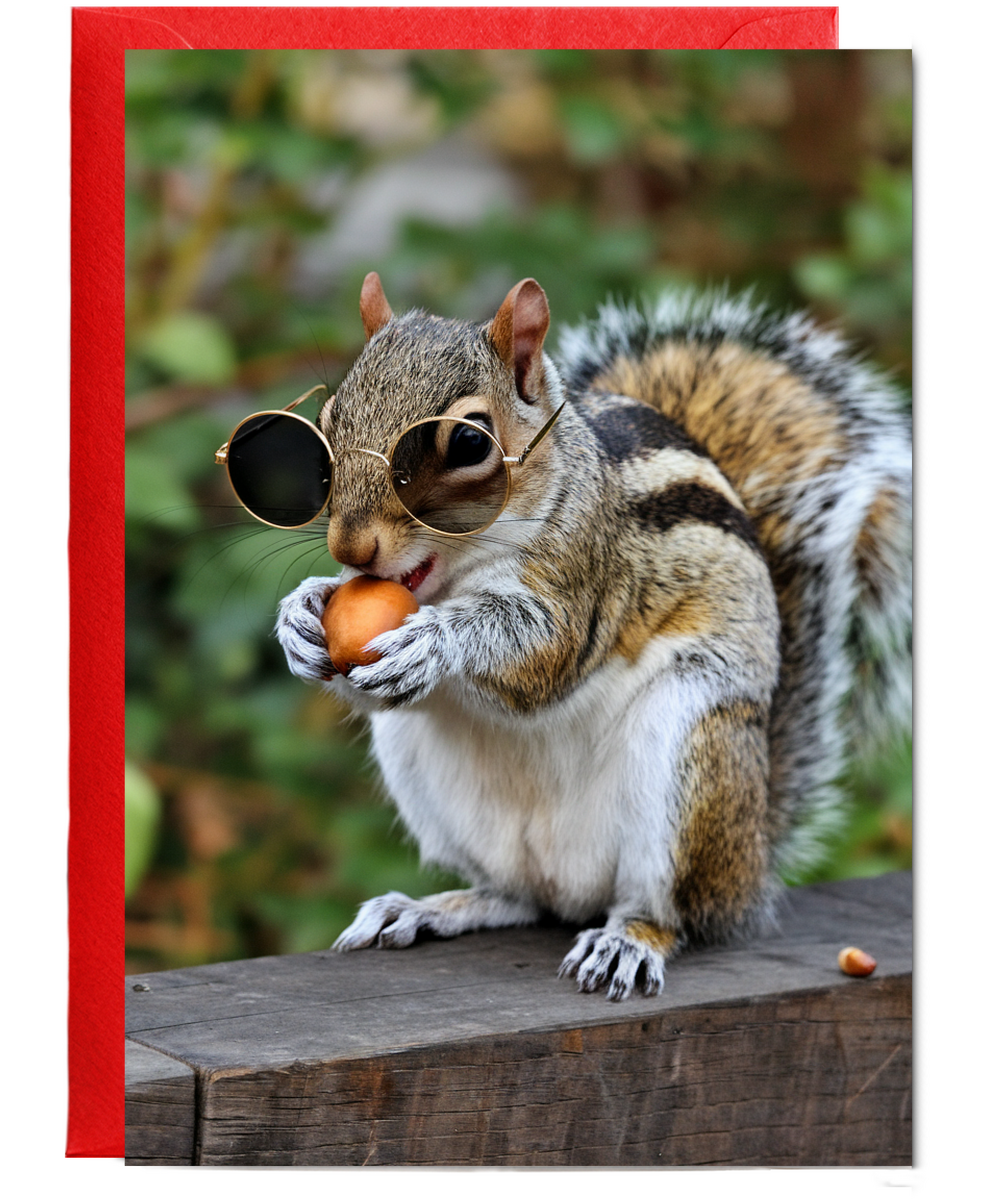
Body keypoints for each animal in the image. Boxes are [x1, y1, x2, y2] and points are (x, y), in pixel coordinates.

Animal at [275, 272, 912, 1001]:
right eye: (328, 422)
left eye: (468, 444)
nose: (350, 547)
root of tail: (747, 866)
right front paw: (300, 614)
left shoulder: (590, 572)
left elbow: (544, 656)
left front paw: (436, 641)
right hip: (436, 789)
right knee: (518, 897)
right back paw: (429, 909)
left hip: (688, 758)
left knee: (669, 909)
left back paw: (627, 942)